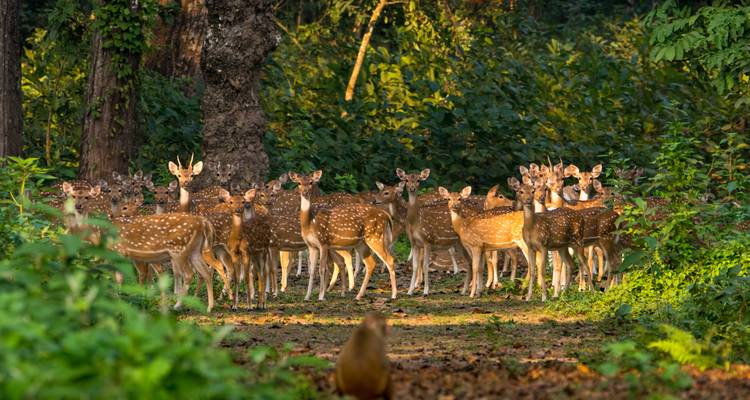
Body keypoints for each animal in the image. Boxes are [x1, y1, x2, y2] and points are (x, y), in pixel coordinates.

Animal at [289, 171, 397, 301]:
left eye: (311, 182)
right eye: (299, 183)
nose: (305, 192)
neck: (310, 223)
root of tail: (385, 215)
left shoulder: (324, 242)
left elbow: (322, 269)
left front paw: (321, 296)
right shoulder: (311, 246)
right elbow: (312, 271)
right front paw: (307, 296)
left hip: (375, 236)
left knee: (389, 260)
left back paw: (393, 295)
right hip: (362, 243)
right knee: (371, 264)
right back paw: (358, 295)